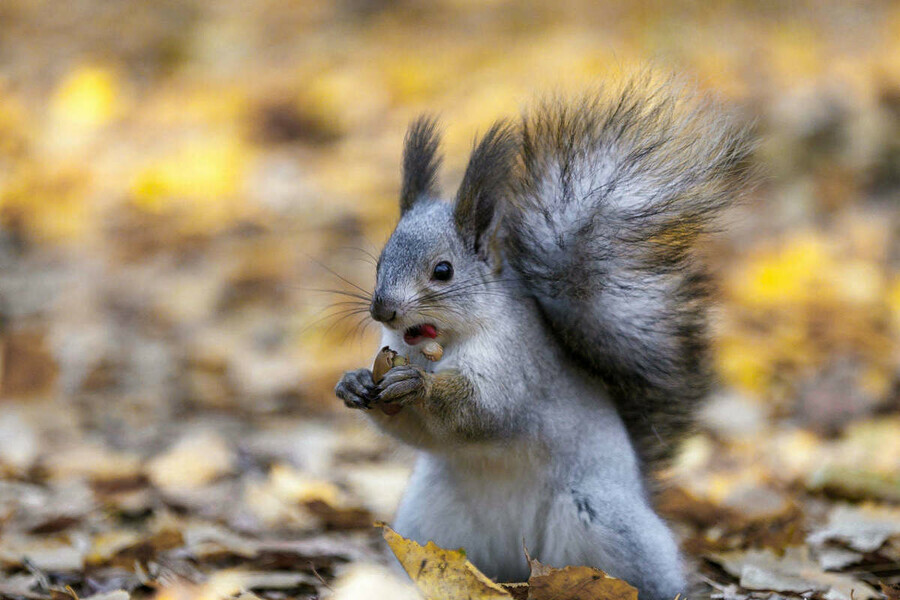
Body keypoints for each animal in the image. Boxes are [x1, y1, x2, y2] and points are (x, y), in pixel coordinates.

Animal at [334, 75, 748, 600]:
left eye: (443, 271)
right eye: (378, 264)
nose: (381, 309)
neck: (438, 345)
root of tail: (518, 564)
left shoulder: (518, 365)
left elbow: (485, 410)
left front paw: (419, 387)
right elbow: (411, 429)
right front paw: (352, 383)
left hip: (600, 514)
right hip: (431, 516)